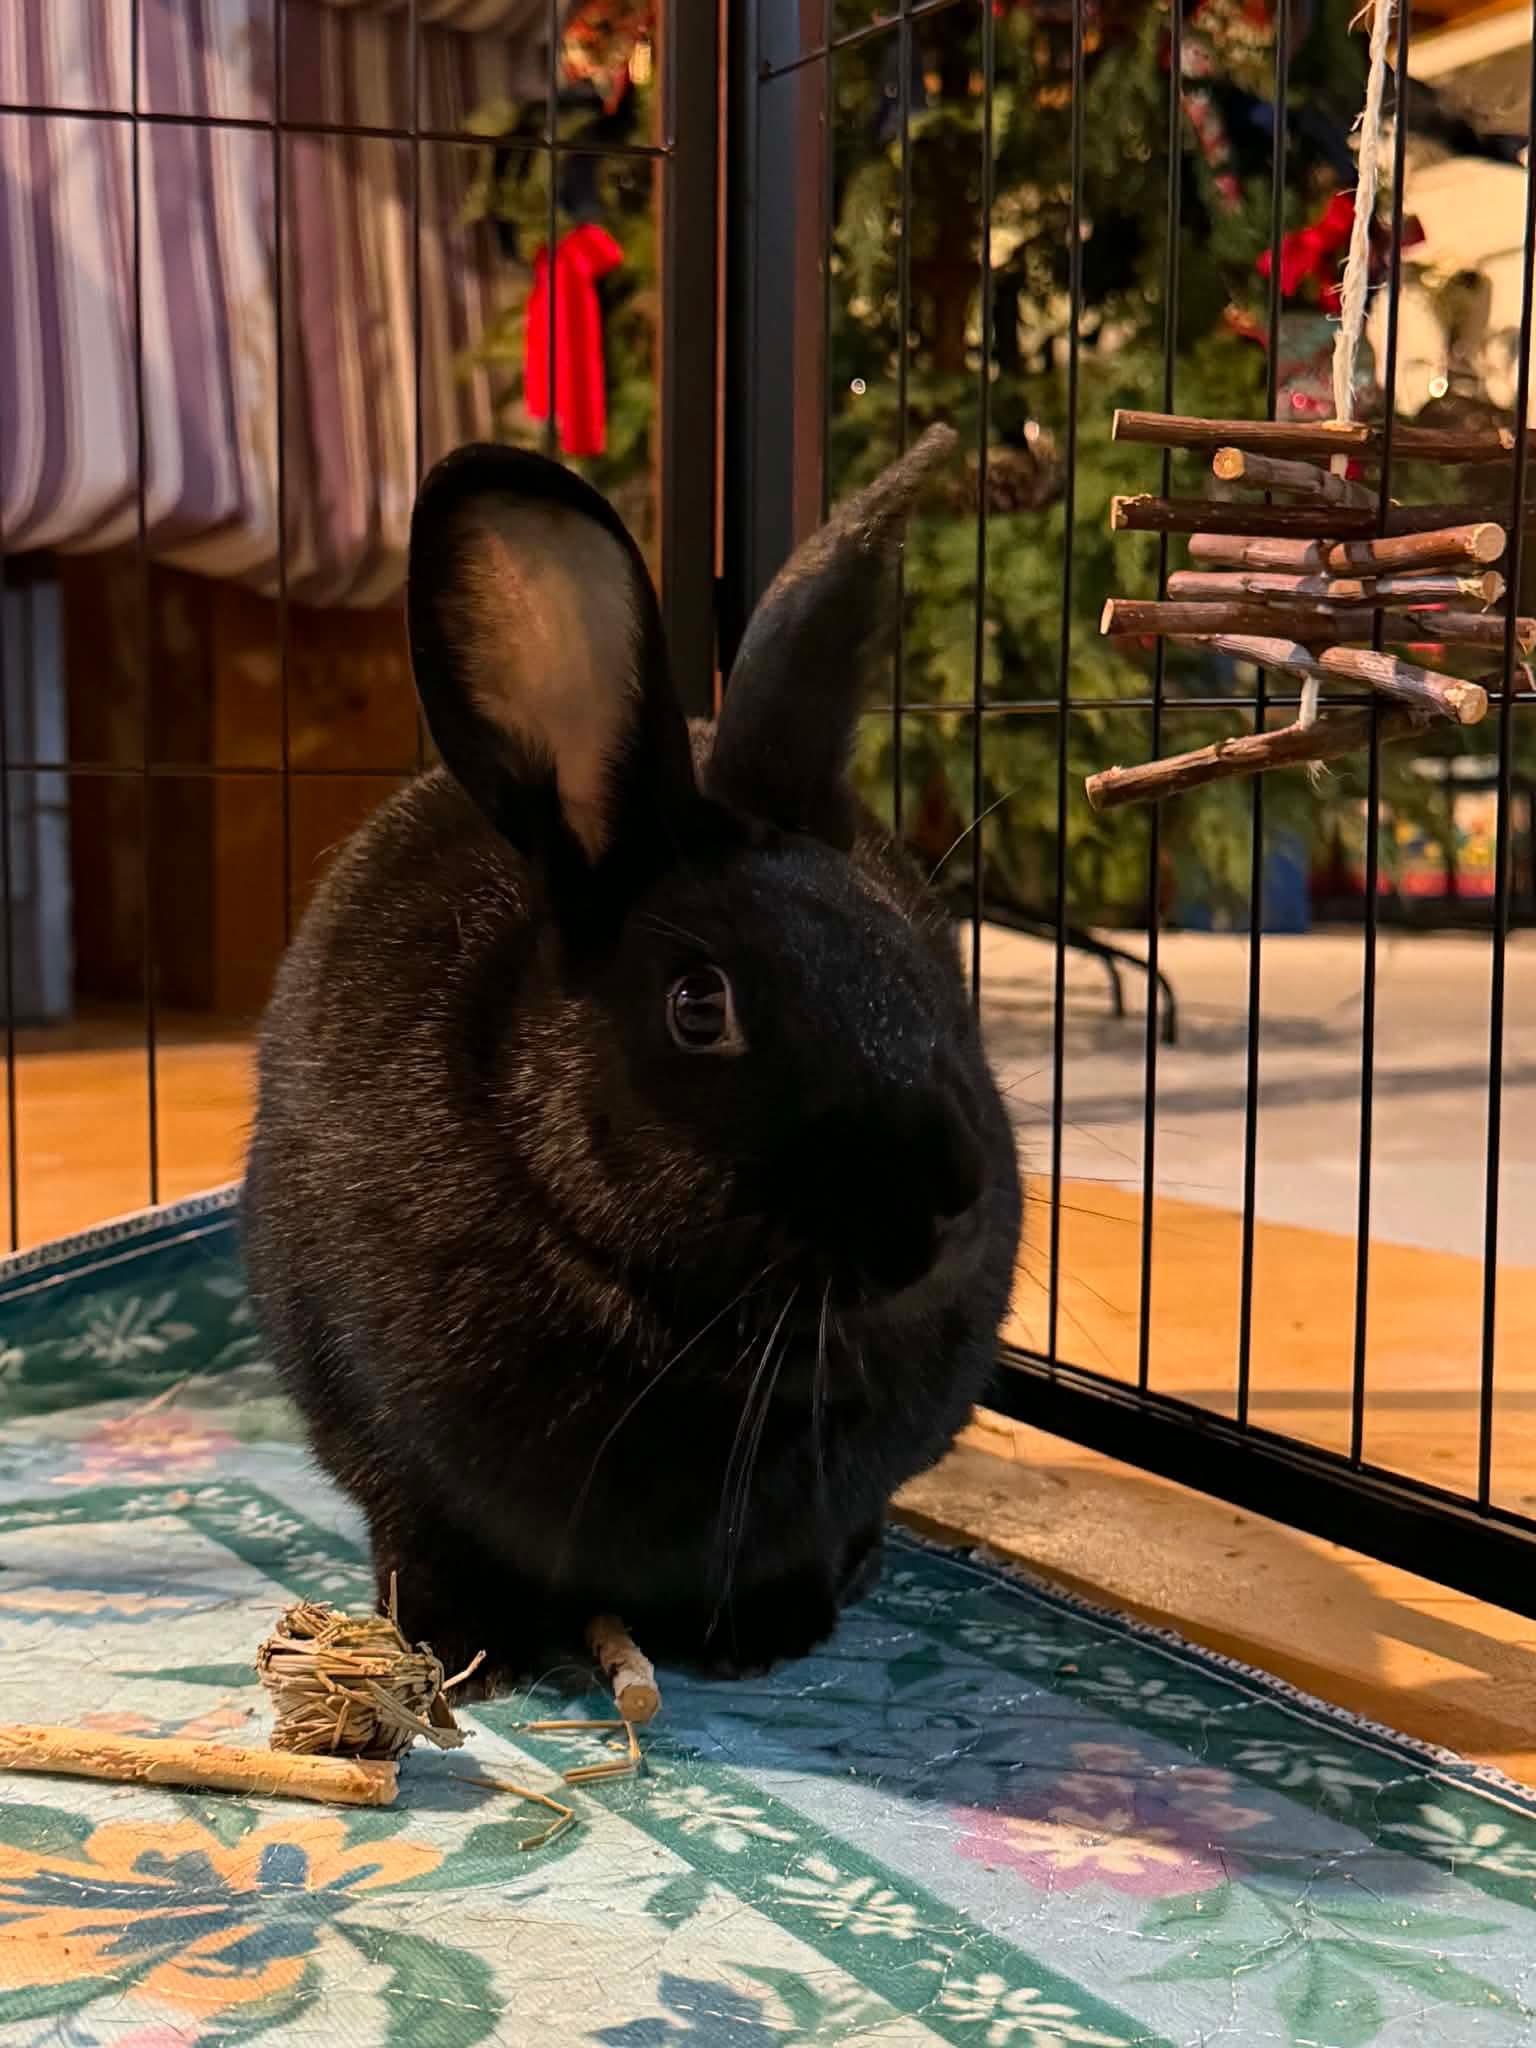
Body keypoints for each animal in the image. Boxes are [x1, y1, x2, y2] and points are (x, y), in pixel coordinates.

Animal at [241, 423, 1022, 1689]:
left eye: (922, 958)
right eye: (700, 1006)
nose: (949, 1196)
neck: (694, 1331)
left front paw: (766, 1636)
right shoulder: (388, 1452)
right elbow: (424, 1534)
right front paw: (468, 1650)